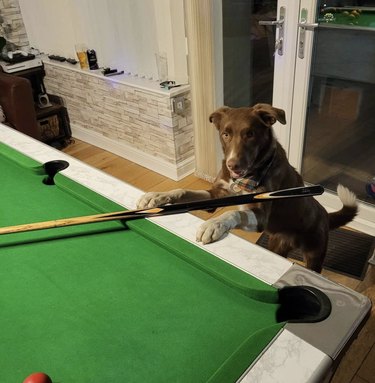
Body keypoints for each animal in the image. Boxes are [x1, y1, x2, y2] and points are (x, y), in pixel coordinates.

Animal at [138, 104, 358, 272]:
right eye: (226, 134)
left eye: (250, 134)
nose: (232, 166)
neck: (247, 177)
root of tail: (325, 214)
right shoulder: (217, 193)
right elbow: (181, 191)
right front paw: (156, 197)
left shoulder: (260, 216)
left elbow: (232, 213)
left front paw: (214, 225)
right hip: (276, 244)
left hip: (315, 253)